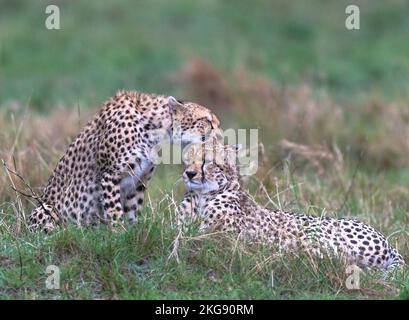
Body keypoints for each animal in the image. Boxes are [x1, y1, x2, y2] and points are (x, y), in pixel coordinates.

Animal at [28, 90, 220, 232]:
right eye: (207, 120)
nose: (219, 130)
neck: (155, 129)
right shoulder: (110, 176)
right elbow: (114, 211)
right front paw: (119, 234)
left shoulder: (138, 181)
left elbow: (132, 211)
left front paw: (132, 234)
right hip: (45, 209)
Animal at [178, 142, 404, 270]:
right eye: (188, 159)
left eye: (207, 161)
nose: (189, 173)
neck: (202, 197)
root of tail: (385, 240)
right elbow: (182, 232)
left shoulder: (223, 237)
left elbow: (198, 236)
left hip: (316, 234)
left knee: (334, 258)